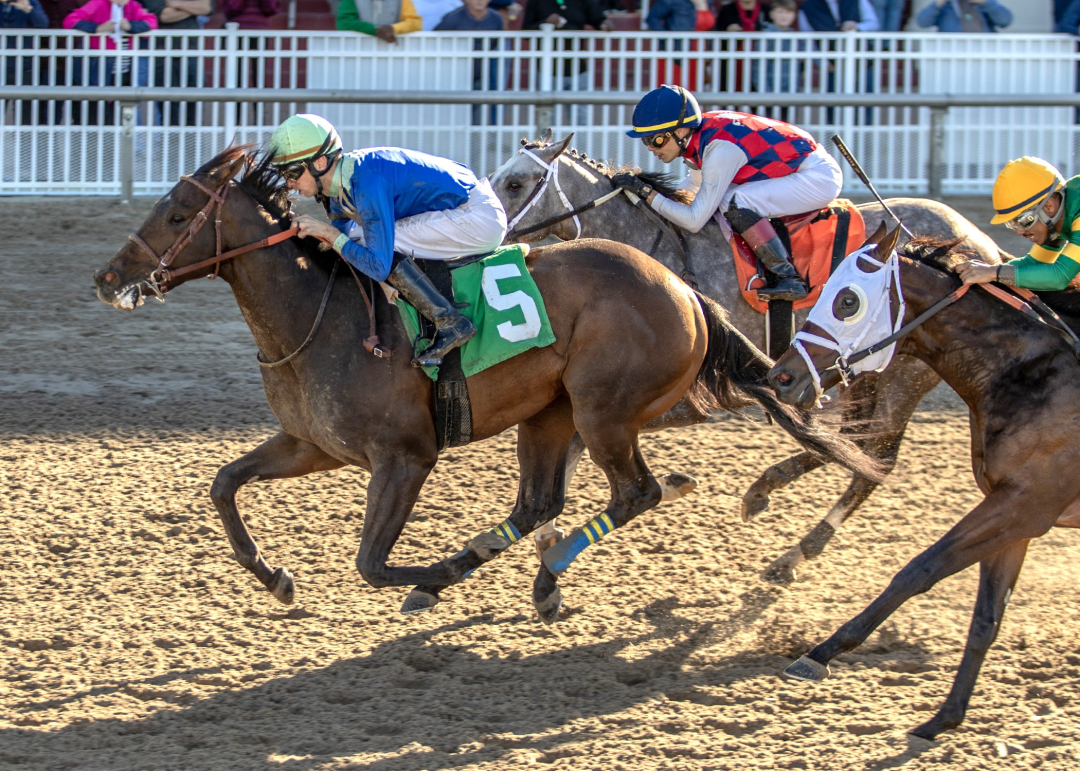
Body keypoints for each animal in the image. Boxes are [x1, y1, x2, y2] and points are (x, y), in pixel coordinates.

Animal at [92, 146, 876, 621]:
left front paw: (432, 574)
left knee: (636, 491)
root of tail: (682, 289)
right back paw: (525, 572)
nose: (106, 277)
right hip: (550, 413)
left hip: (603, 412)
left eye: (175, 213)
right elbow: (224, 483)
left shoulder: (405, 456)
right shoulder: (311, 443)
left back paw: (535, 564)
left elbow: (371, 563)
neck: (320, 315)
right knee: (538, 503)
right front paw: (274, 576)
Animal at [490, 132, 1002, 578]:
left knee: (875, 458)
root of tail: (985, 247)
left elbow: (579, 442)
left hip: (904, 375)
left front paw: (550, 543)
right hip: (865, 375)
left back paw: (794, 548)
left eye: (514, 183)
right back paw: (766, 493)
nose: (487, 233)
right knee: (857, 445)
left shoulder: (696, 398)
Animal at [768, 225, 1080, 734]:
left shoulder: (1025, 503)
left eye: (847, 301)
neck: (1030, 374)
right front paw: (945, 717)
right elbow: (986, 618)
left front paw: (820, 653)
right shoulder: (1017, 512)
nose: (782, 376)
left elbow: (919, 569)